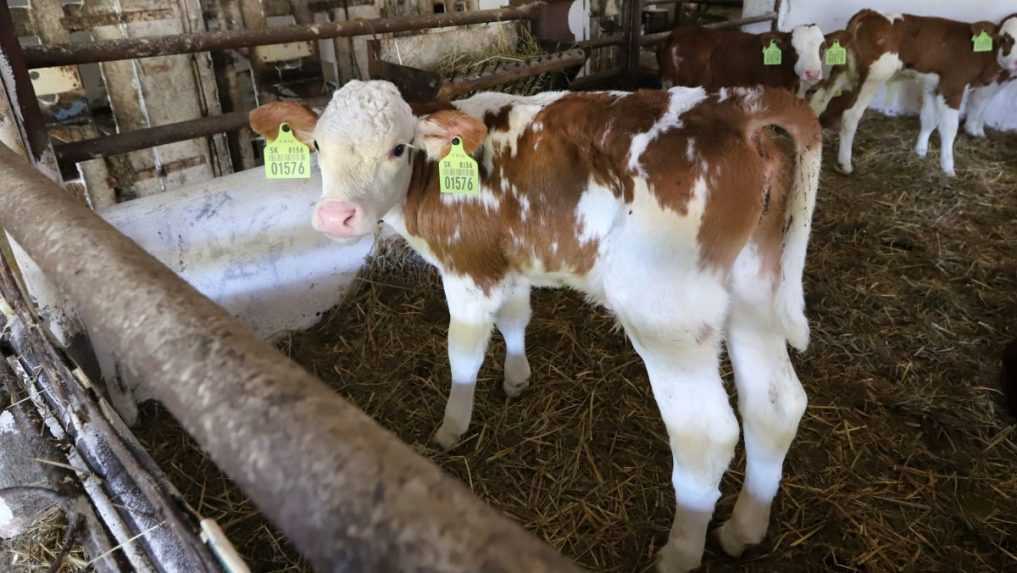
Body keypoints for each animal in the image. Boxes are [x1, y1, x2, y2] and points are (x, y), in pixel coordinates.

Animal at [250, 80, 821, 573]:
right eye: (318, 145)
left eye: (396, 148)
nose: (336, 216)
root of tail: (738, 105)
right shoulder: (508, 262)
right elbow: (516, 316)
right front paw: (517, 377)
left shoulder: (467, 270)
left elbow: (463, 353)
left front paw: (451, 427)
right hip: (752, 293)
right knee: (775, 406)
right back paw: (743, 529)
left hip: (669, 317)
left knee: (706, 434)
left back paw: (679, 554)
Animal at [809, 11, 1016, 176]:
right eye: (1005, 38)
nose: (1014, 63)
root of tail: (870, 14)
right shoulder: (953, 87)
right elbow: (949, 127)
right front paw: (948, 168)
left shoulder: (933, 87)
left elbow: (929, 119)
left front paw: (921, 151)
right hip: (873, 78)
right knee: (850, 115)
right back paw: (845, 164)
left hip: (843, 71)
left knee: (819, 98)